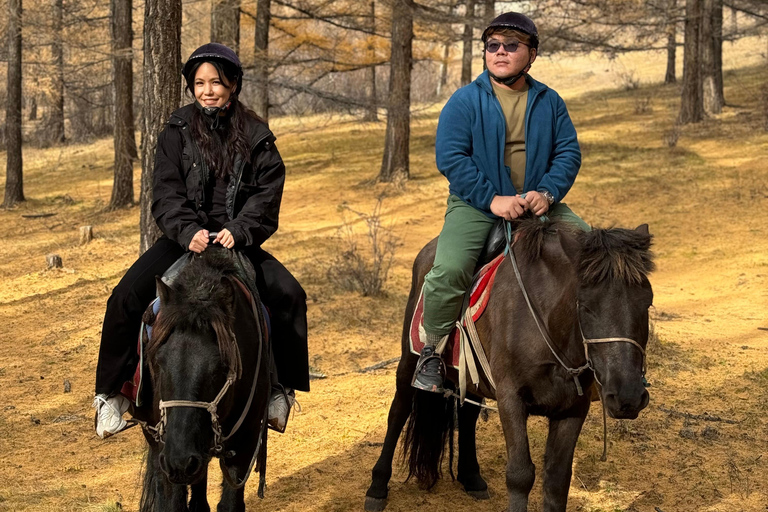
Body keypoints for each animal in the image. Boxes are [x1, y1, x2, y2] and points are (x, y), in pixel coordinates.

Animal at [132, 246, 272, 510]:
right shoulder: (165, 448)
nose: (180, 461)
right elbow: (172, 503)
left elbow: (230, 504)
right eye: (157, 363)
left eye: (220, 367)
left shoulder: (245, 441)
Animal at [366, 217, 656, 512]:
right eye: (585, 306)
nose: (628, 396)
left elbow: (557, 480)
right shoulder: (511, 399)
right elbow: (520, 475)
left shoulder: (573, 408)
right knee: (398, 411)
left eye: (647, 304)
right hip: (410, 359)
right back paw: (377, 487)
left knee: (468, 415)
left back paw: (471, 477)